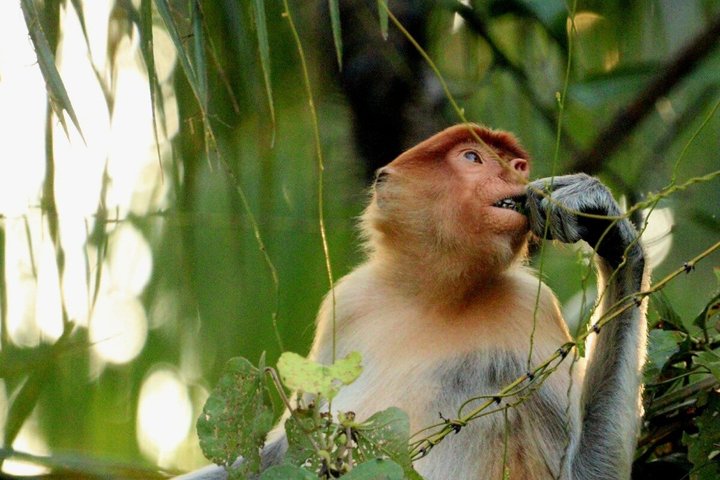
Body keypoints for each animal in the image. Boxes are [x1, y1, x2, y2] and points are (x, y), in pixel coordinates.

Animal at [178, 123, 648, 479]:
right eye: (473, 158)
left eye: (516, 165)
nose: (513, 176)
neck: (434, 297)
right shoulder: (348, 302)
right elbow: (287, 448)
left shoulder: (530, 306)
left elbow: (583, 473)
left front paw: (603, 223)